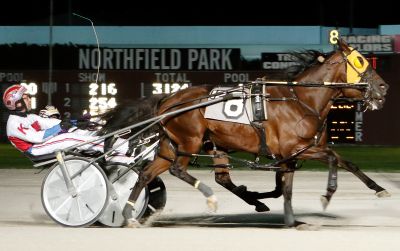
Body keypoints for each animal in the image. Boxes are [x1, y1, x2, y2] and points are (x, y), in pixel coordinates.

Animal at [101, 38, 390, 227]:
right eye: (360, 61)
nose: (384, 87)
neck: (301, 99)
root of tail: (167, 99)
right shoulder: (295, 149)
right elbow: (330, 161)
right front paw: (327, 194)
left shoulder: (299, 152)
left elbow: (339, 164)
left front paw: (378, 188)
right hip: (190, 140)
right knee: (178, 170)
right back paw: (210, 197)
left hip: (179, 145)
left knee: (148, 174)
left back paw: (129, 215)